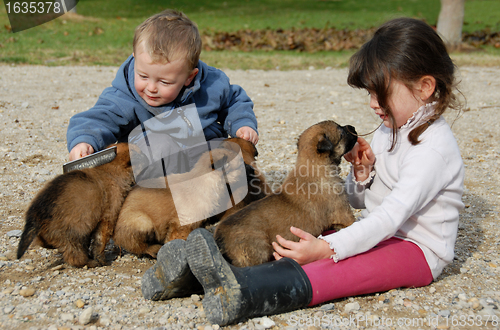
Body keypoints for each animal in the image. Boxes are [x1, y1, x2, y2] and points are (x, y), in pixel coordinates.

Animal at [112, 138, 268, 260]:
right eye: (241, 165)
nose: (254, 171)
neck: (204, 181)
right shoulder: (181, 224)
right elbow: (177, 240)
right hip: (142, 222)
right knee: (137, 245)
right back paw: (153, 249)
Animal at [213, 121, 358, 268]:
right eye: (342, 132)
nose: (353, 127)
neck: (316, 166)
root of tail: (219, 239)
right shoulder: (345, 215)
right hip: (257, 250)